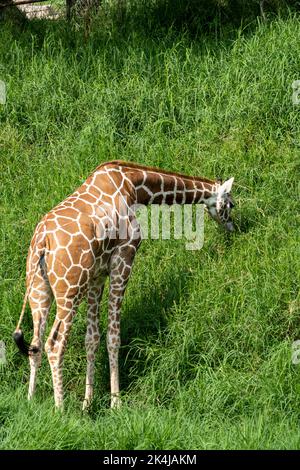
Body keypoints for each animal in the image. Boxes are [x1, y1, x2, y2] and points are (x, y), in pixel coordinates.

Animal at [13, 160, 234, 410]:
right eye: (231, 204)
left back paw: (30, 402)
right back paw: (60, 408)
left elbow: (92, 338)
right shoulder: (124, 256)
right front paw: (115, 403)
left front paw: (88, 404)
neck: (134, 187)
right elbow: (113, 336)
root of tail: (43, 242)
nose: (232, 227)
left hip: (38, 289)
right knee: (54, 344)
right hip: (69, 289)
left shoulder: (97, 275)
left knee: (35, 344)